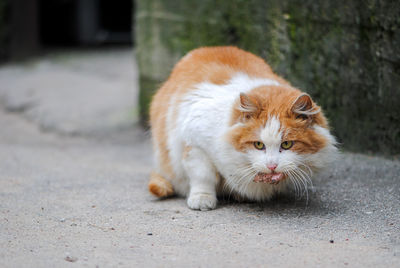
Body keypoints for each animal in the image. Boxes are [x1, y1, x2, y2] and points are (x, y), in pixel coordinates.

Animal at [148, 45, 336, 209]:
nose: (272, 166)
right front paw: (202, 199)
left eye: (287, 144)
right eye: (258, 145)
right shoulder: (195, 143)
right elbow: (203, 176)